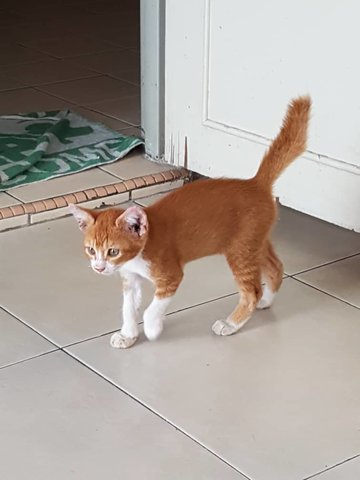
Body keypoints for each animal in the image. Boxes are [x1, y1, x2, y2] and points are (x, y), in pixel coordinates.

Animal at [71, 95, 312, 348]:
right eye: (90, 250)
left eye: (113, 251)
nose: (99, 268)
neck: (138, 255)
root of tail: (254, 183)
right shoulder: (131, 279)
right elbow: (128, 308)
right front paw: (128, 335)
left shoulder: (170, 275)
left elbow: (150, 309)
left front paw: (152, 329)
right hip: (253, 243)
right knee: (275, 267)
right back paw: (265, 301)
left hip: (240, 250)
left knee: (252, 290)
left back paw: (231, 323)